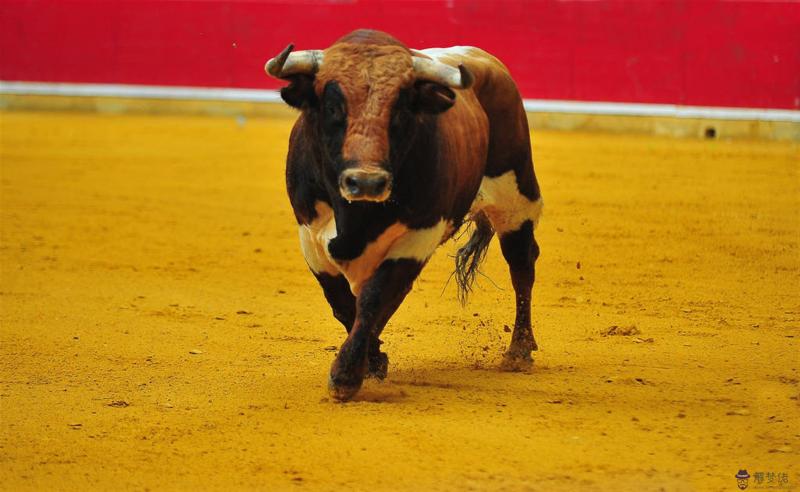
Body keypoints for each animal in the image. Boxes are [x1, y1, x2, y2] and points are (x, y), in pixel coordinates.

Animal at [266, 29, 540, 400]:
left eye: (399, 110)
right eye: (333, 107)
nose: (366, 181)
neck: (358, 220)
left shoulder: (417, 237)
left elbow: (374, 298)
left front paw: (346, 375)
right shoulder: (310, 236)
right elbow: (343, 303)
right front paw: (373, 361)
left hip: (517, 197)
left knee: (521, 263)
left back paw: (519, 351)